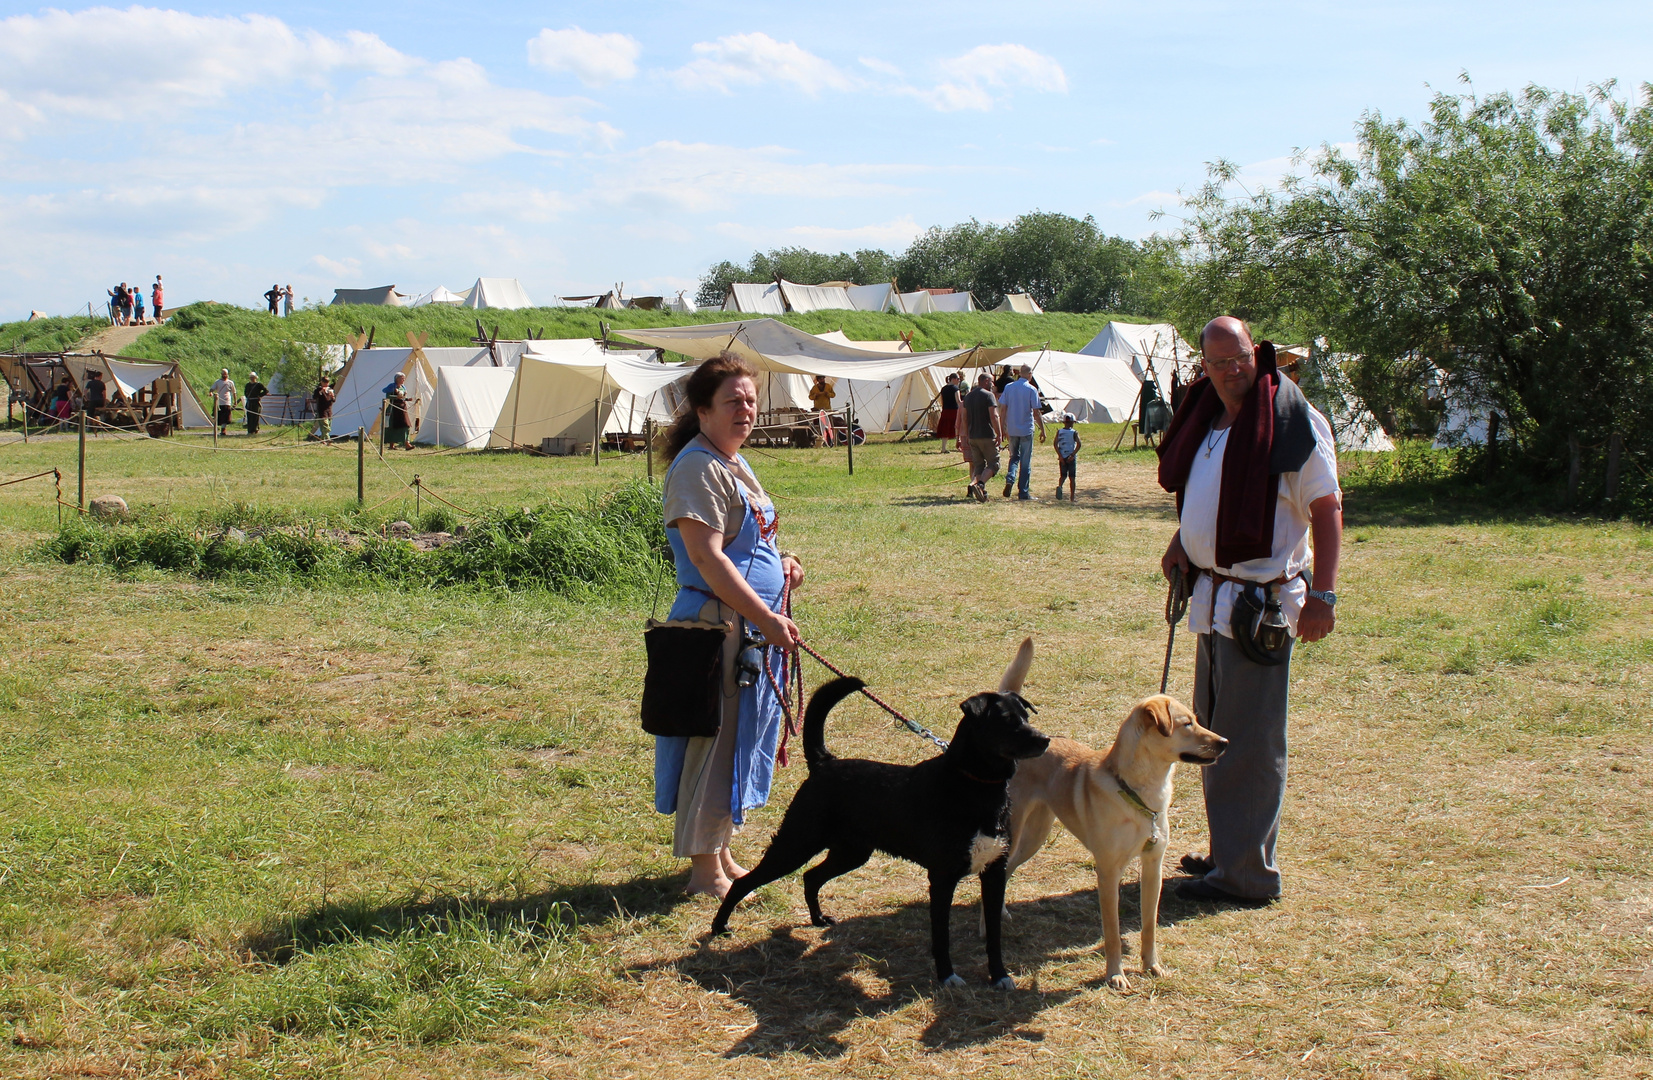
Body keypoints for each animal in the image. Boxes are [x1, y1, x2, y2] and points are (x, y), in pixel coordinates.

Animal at [707, 678, 1044, 992]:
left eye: (1026, 716)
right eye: (1006, 721)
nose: (1044, 739)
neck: (975, 786)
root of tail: (824, 762)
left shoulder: (995, 872)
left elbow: (994, 936)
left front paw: (999, 976)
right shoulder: (942, 877)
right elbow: (942, 935)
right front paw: (947, 976)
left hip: (850, 853)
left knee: (811, 877)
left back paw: (818, 919)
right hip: (795, 845)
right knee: (744, 882)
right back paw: (719, 926)